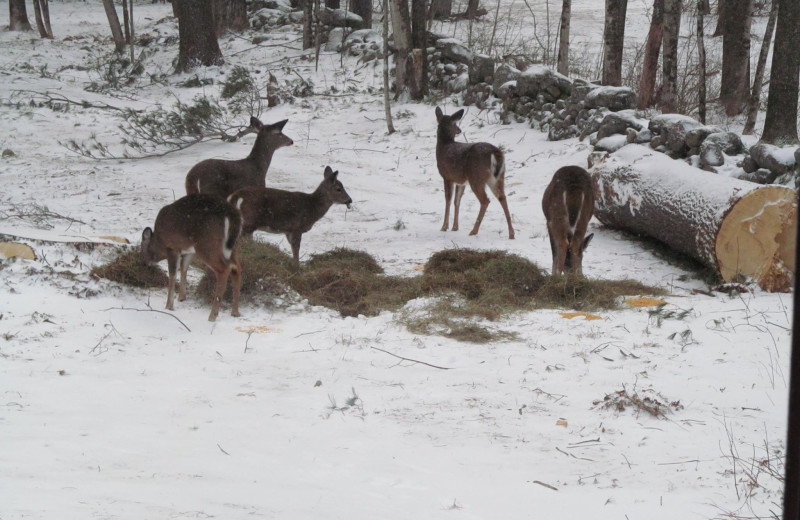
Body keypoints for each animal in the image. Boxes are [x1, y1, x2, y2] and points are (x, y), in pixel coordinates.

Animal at [434, 108, 516, 242]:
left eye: (455, 123)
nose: (459, 130)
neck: (444, 146)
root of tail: (495, 152)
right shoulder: (461, 181)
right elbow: (457, 201)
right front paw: (455, 227)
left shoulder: (447, 176)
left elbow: (448, 200)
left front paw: (444, 227)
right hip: (498, 177)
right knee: (502, 197)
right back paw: (511, 233)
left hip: (476, 177)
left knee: (485, 200)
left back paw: (474, 231)